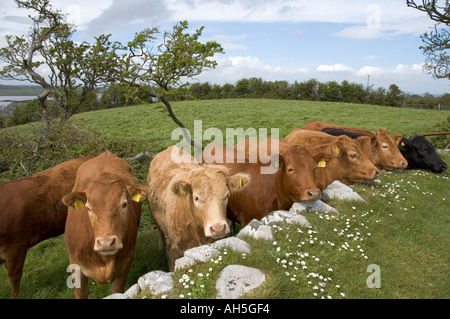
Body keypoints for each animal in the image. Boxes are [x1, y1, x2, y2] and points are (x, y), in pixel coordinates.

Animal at [62, 151, 147, 298]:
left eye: (124, 204)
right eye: (88, 208)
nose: (106, 243)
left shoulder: (126, 262)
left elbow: (117, 290)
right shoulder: (75, 264)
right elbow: (80, 292)